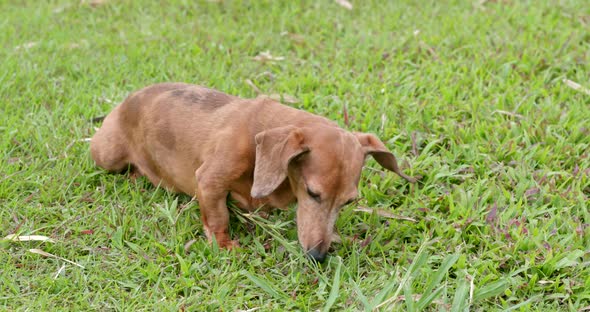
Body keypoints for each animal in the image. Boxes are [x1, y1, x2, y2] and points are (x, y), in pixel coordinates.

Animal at [90, 83, 418, 264]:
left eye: (348, 202)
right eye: (313, 193)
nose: (318, 257)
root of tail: (124, 103)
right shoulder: (209, 179)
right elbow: (217, 216)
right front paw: (224, 245)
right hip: (107, 155)